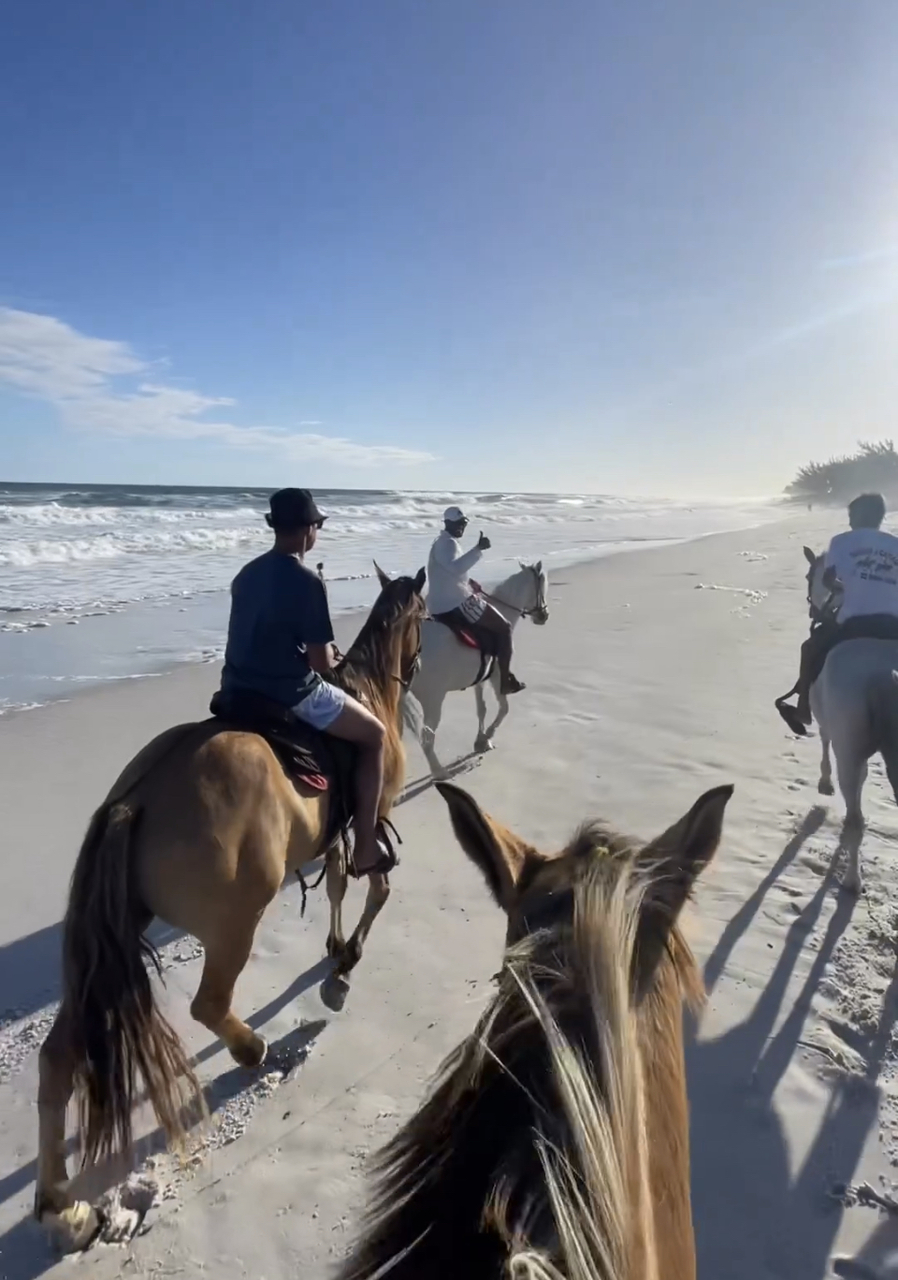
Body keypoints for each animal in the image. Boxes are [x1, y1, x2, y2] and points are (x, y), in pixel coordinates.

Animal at [36, 568, 429, 1249]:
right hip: (235, 923)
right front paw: (344, 964)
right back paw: (252, 1050)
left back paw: (65, 1206)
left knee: (58, 1056)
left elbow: (335, 886)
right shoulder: (373, 819)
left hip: (110, 942)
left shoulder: (334, 835)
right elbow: (373, 887)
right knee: (209, 1005)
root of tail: (136, 800)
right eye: (427, 616)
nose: (420, 663)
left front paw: (333, 950)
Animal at [406, 563, 547, 778]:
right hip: (433, 700)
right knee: (427, 738)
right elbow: (504, 708)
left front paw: (480, 739)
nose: (544, 616)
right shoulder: (497, 676)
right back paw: (440, 772)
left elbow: (481, 708)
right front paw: (487, 737)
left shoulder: (480, 679)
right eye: (542, 585)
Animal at [803, 545, 898, 896]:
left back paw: (852, 881)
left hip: (848, 743)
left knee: (857, 820)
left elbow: (823, 738)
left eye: (810, 575)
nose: (812, 610)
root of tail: (885, 671)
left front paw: (824, 782)